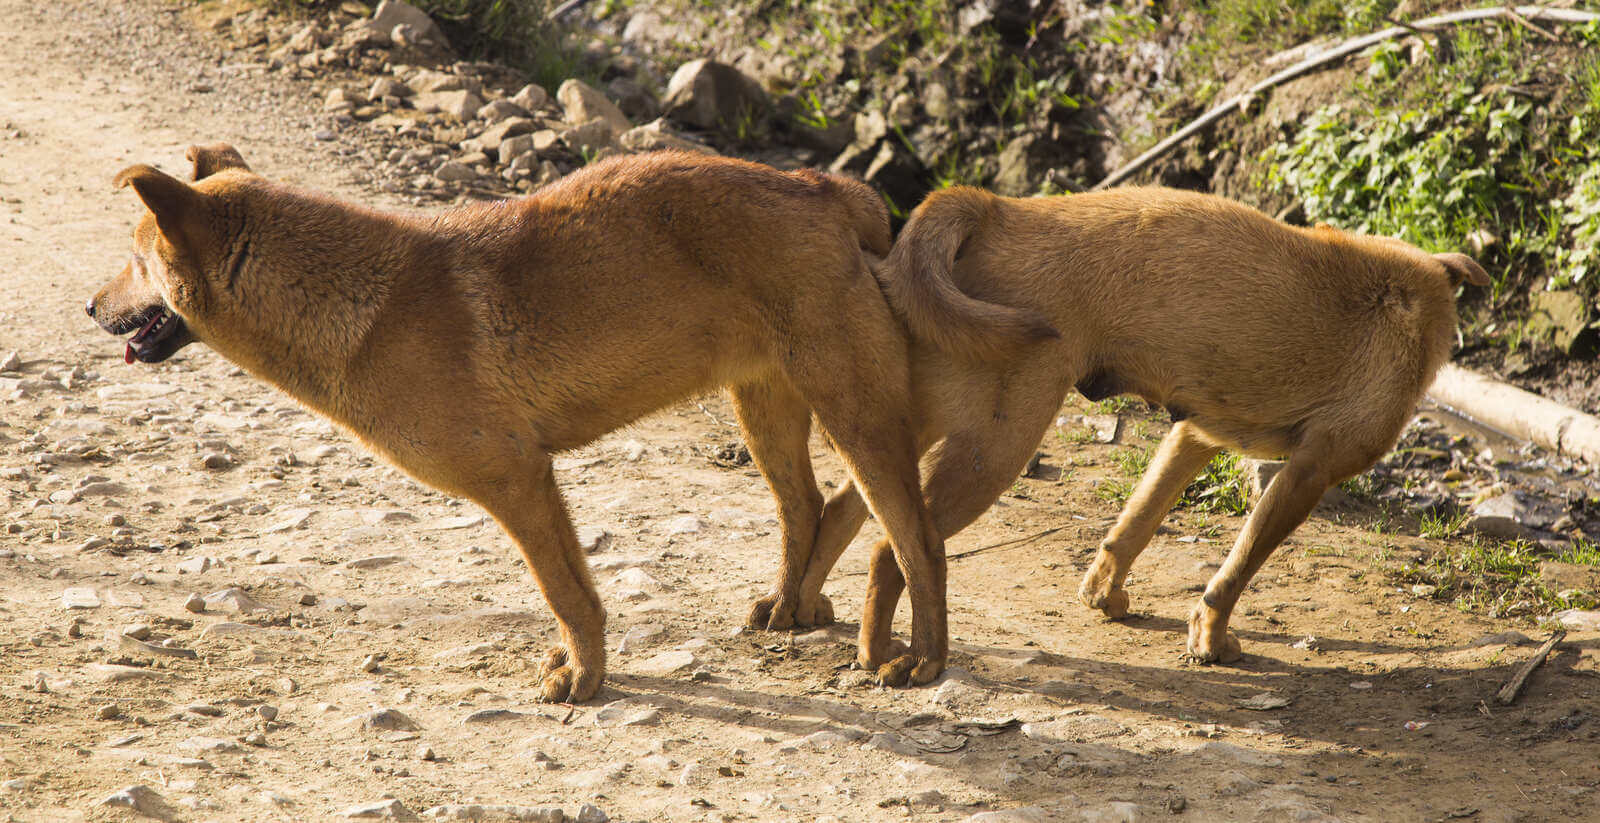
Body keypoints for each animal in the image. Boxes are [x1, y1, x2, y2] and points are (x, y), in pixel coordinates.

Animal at [84, 144, 1011, 694]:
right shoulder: (535, 481)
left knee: (916, 541)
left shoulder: (517, 479)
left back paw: (924, 658)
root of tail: (827, 188)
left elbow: (566, 593)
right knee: (806, 509)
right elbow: (577, 594)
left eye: (134, 258)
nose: (89, 306)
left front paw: (585, 680)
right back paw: (792, 609)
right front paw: (583, 667)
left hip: (855, 412)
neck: (357, 301)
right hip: (767, 405)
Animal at [774, 184, 1484, 659]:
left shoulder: (1194, 435)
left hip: (917, 420)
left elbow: (1134, 525)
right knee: (896, 549)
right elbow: (1237, 568)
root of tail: (999, 206)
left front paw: (1104, 594)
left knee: (848, 510)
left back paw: (802, 610)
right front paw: (1211, 637)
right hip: (995, 447)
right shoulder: (1309, 472)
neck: (1411, 293)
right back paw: (897, 658)